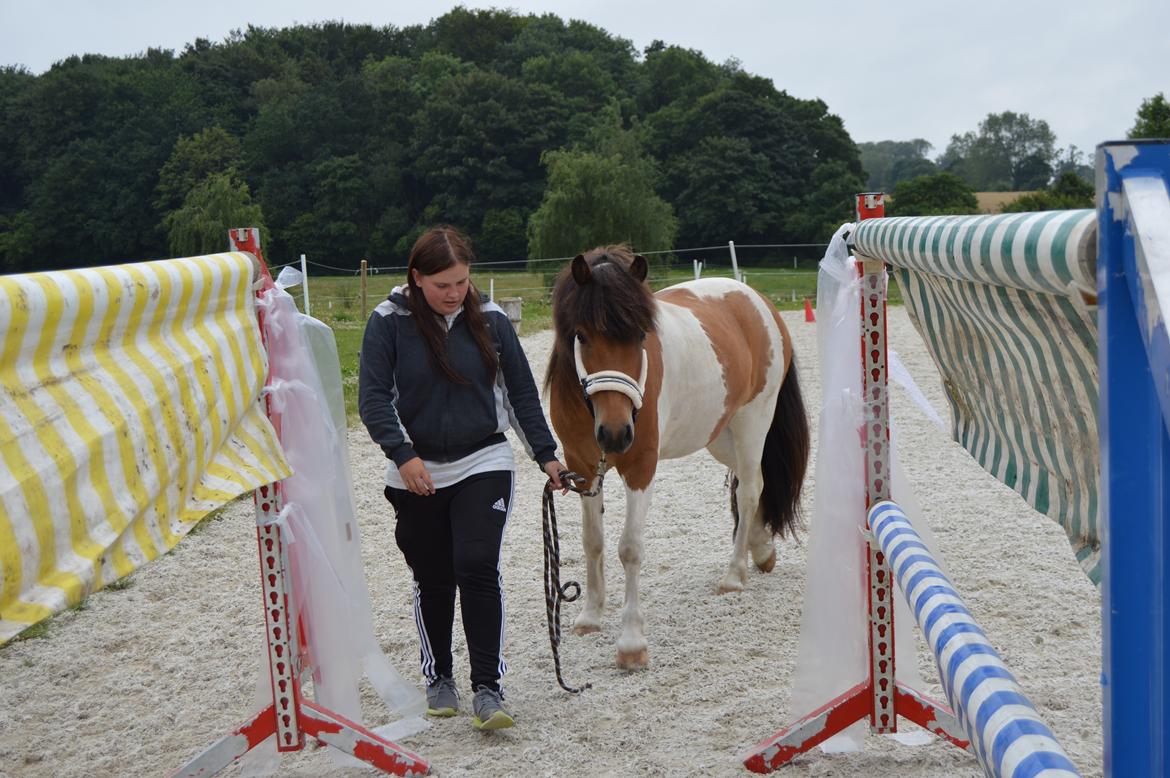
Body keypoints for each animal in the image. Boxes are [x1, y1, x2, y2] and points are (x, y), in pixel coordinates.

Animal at [542, 244, 809, 669]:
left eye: (639, 335)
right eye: (580, 335)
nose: (616, 433)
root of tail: (756, 300)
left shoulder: (640, 467)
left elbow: (630, 548)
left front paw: (631, 643)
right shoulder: (583, 469)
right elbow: (593, 541)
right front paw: (590, 616)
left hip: (753, 420)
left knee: (751, 487)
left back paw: (734, 575)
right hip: (719, 434)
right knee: (747, 484)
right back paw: (762, 549)